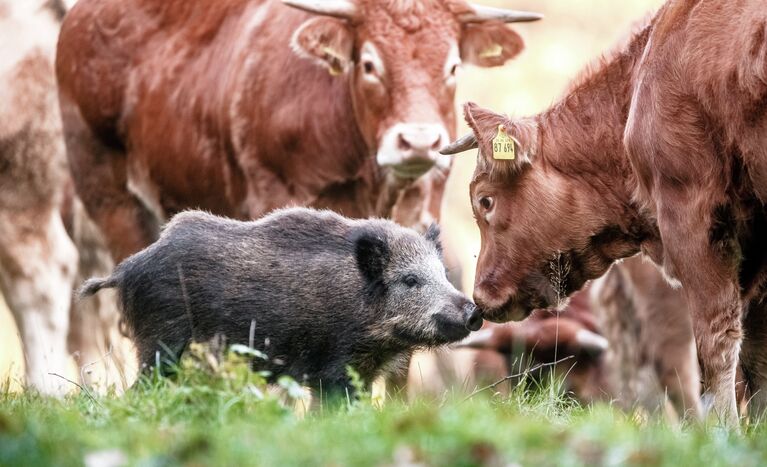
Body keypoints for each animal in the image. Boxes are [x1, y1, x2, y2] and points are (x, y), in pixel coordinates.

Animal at [440, 0, 767, 424]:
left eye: (485, 200)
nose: (480, 296)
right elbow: (757, 356)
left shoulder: (692, 222)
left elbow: (716, 344)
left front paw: (724, 430)